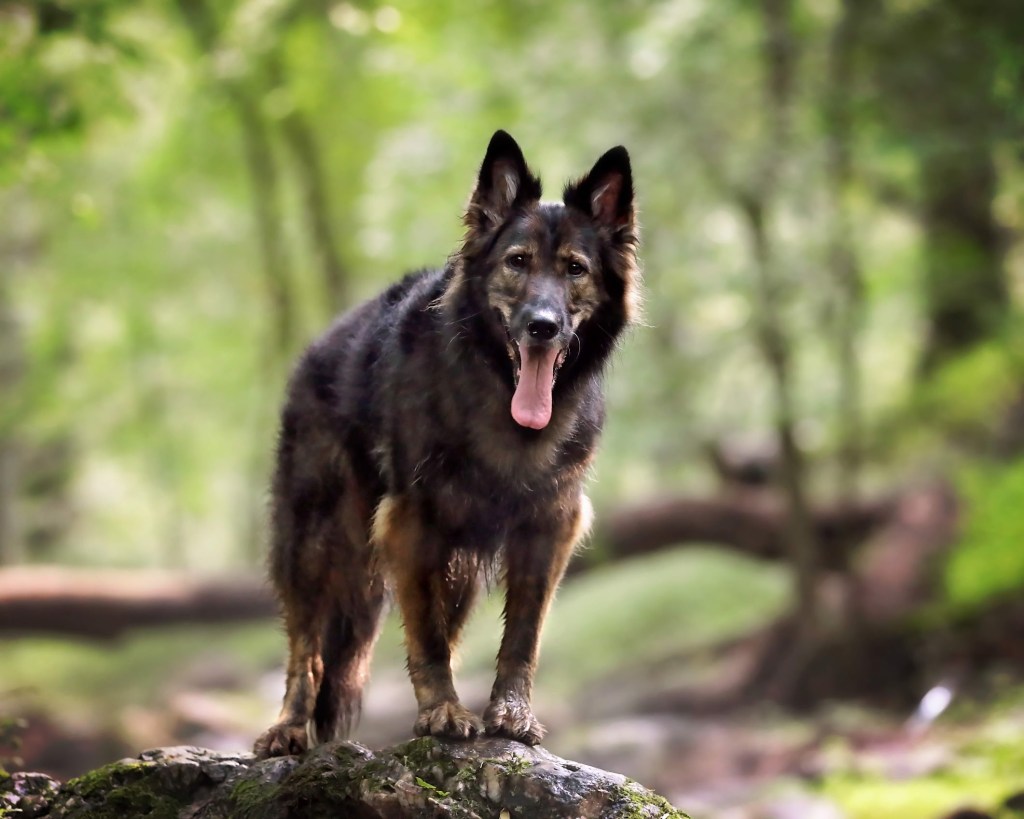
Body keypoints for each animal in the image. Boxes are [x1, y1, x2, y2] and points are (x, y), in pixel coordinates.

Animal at [253, 131, 638, 757]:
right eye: (517, 261)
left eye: (575, 269)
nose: (542, 326)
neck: (497, 393)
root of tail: (320, 347)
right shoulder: (412, 521)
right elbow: (426, 638)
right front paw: (441, 712)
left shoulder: (548, 525)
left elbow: (522, 635)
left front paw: (509, 713)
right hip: (314, 542)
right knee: (306, 651)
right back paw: (288, 726)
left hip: (452, 562)